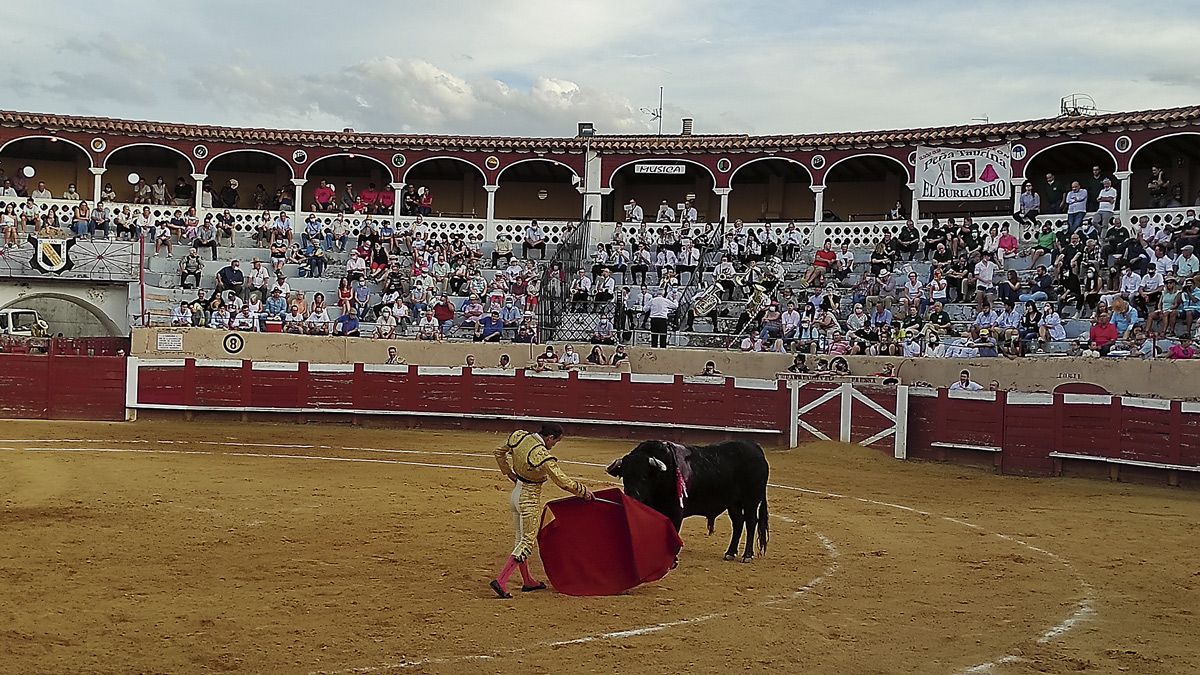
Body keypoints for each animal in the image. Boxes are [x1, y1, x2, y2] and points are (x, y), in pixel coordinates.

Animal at [609, 437, 768, 557]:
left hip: (751, 500)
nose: (631, 497)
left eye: (643, 477)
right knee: (738, 522)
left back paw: (747, 555)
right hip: (733, 503)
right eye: (624, 477)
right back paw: (730, 553)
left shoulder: (676, 512)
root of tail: (756, 448)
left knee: (751, 522)